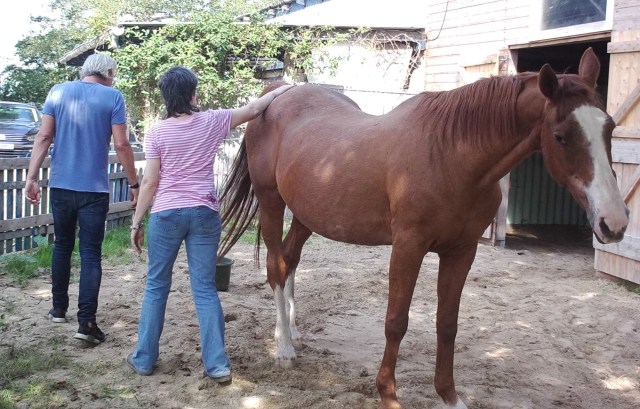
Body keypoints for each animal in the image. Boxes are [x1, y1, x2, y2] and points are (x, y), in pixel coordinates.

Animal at [217, 47, 629, 409]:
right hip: (272, 203)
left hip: (307, 215)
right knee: (276, 265)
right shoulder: (408, 247)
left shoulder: (462, 251)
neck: (449, 155)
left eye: (609, 128)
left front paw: (450, 397)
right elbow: (396, 322)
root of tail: (276, 97)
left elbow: (447, 324)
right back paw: (284, 347)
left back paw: (290, 331)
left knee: (289, 260)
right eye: (561, 136)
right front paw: (388, 395)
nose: (615, 222)